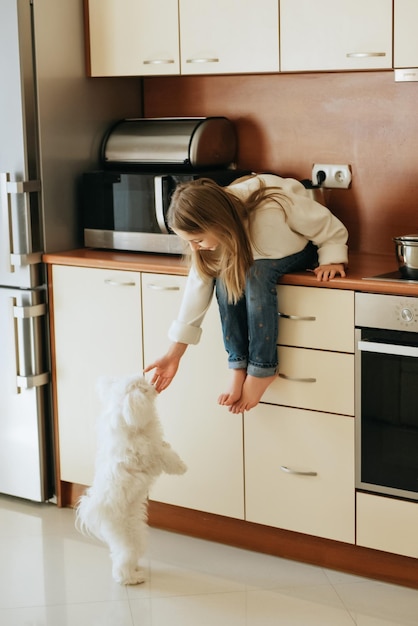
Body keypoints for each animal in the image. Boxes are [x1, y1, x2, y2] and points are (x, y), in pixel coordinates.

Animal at [76, 372, 187, 584]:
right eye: (143, 388)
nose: (154, 384)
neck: (126, 422)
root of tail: (99, 510)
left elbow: (163, 446)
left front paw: (168, 445)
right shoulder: (149, 455)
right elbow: (165, 457)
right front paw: (181, 466)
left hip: (137, 536)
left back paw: (136, 570)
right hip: (128, 540)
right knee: (122, 566)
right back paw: (133, 578)